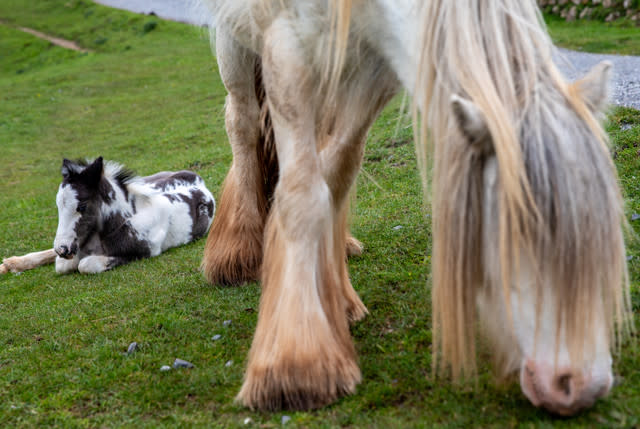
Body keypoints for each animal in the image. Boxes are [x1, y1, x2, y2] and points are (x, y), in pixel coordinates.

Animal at [0, 157, 215, 274]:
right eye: (58, 205)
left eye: (82, 206)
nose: (62, 248)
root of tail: (198, 179)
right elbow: (63, 264)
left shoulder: (144, 253)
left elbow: (84, 264)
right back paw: (10, 264)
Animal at [199, 0, 632, 414]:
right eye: (514, 238)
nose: (579, 386)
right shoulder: (285, 44)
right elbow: (303, 193)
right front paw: (296, 362)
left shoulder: (375, 68)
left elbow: (338, 167)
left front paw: (337, 300)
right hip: (235, 44)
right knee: (242, 121)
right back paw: (238, 251)